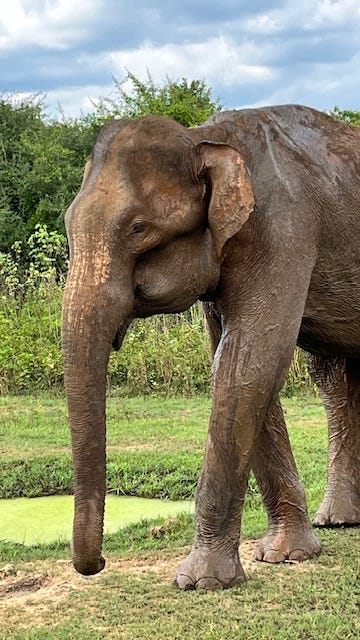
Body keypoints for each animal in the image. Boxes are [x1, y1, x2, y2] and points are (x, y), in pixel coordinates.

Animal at [62, 104, 360, 592]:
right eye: (68, 224)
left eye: (139, 228)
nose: (99, 563)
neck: (204, 137)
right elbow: (237, 361)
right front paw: (285, 556)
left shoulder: (284, 231)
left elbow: (249, 363)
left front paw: (200, 581)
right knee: (333, 374)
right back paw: (338, 520)